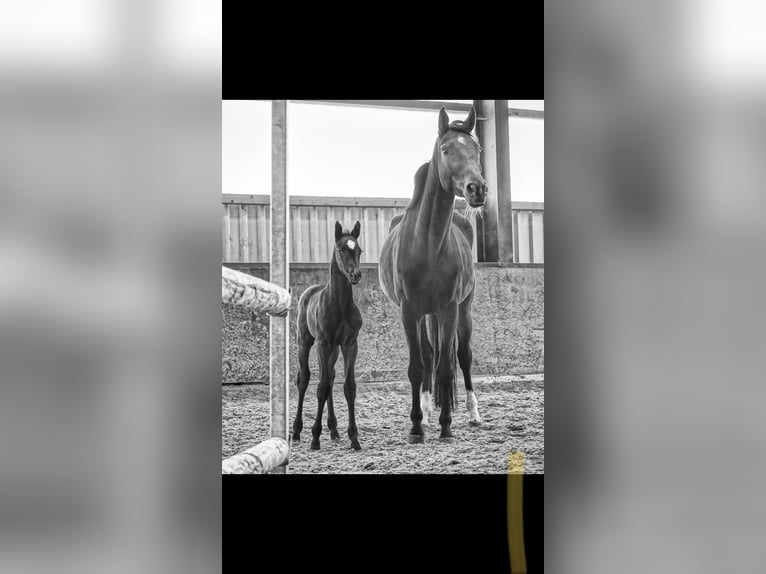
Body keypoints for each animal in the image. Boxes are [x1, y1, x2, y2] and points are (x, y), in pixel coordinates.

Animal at [292, 221, 364, 451]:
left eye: (359, 250)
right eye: (341, 250)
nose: (355, 275)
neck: (339, 305)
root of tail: (309, 291)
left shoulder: (349, 344)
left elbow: (349, 387)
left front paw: (354, 438)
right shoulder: (323, 343)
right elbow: (321, 387)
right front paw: (315, 438)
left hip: (333, 349)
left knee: (330, 376)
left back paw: (333, 430)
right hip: (306, 342)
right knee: (304, 378)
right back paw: (296, 431)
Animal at [379, 106, 487, 443]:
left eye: (478, 150)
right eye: (446, 149)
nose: (477, 189)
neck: (427, 243)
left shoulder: (449, 309)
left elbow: (445, 367)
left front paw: (446, 425)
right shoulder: (409, 311)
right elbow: (418, 366)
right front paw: (417, 425)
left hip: (463, 309)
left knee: (462, 356)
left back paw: (472, 414)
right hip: (425, 315)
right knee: (428, 356)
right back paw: (426, 415)